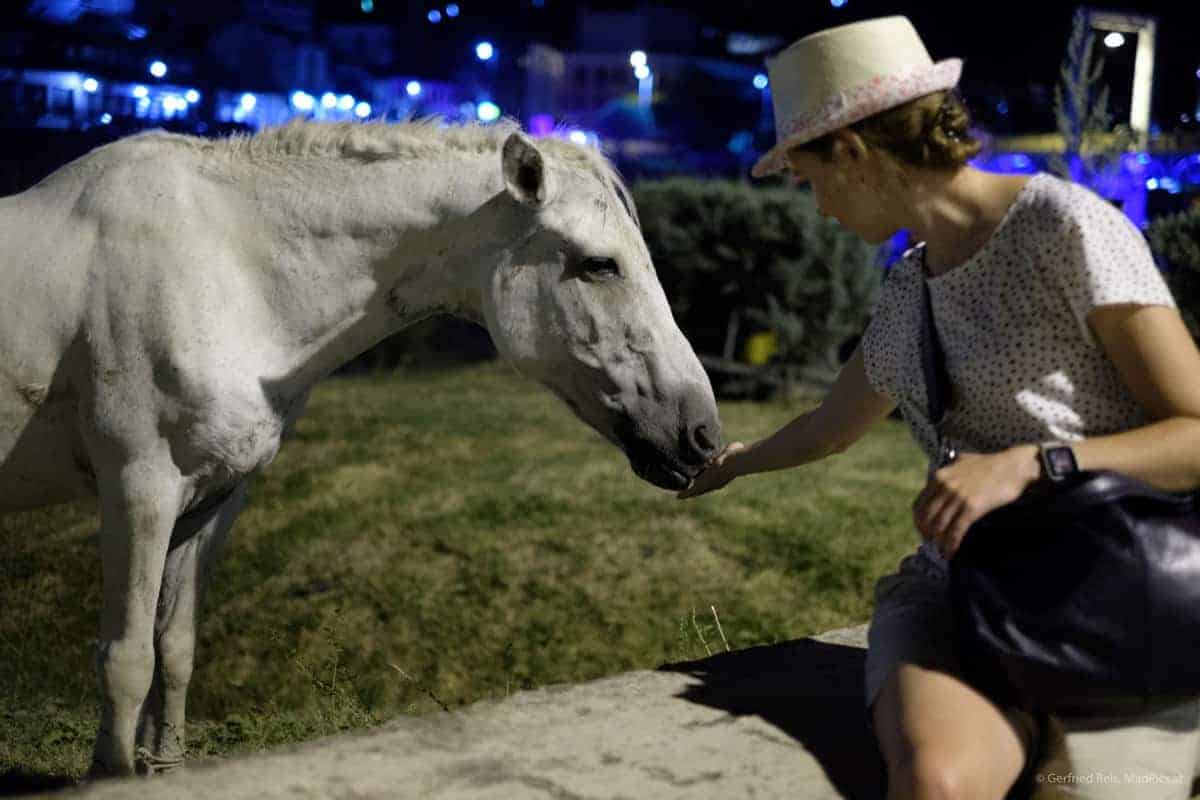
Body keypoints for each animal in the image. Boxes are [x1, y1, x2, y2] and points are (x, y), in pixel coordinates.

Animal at [0, 118, 721, 777]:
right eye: (600, 264)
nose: (703, 434)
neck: (226, 269)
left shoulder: (209, 500)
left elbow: (173, 647)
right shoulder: (139, 489)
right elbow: (126, 659)